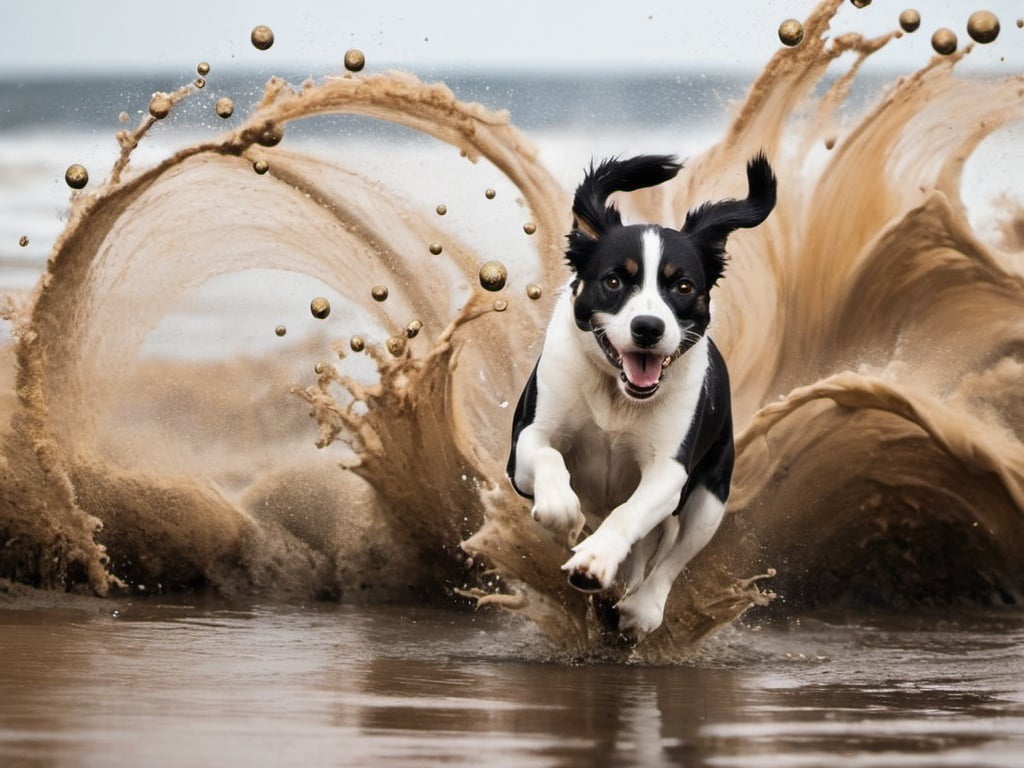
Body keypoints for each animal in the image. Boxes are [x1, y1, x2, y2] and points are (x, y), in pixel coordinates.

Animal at [503, 151, 774, 638]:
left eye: (682, 286)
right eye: (614, 281)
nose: (648, 327)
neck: (618, 397)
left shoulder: (669, 468)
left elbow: (632, 513)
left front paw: (594, 561)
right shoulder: (526, 441)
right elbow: (549, 456)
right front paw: (560, 512)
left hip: (713, 490)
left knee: (674, 554)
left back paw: (641, 608)